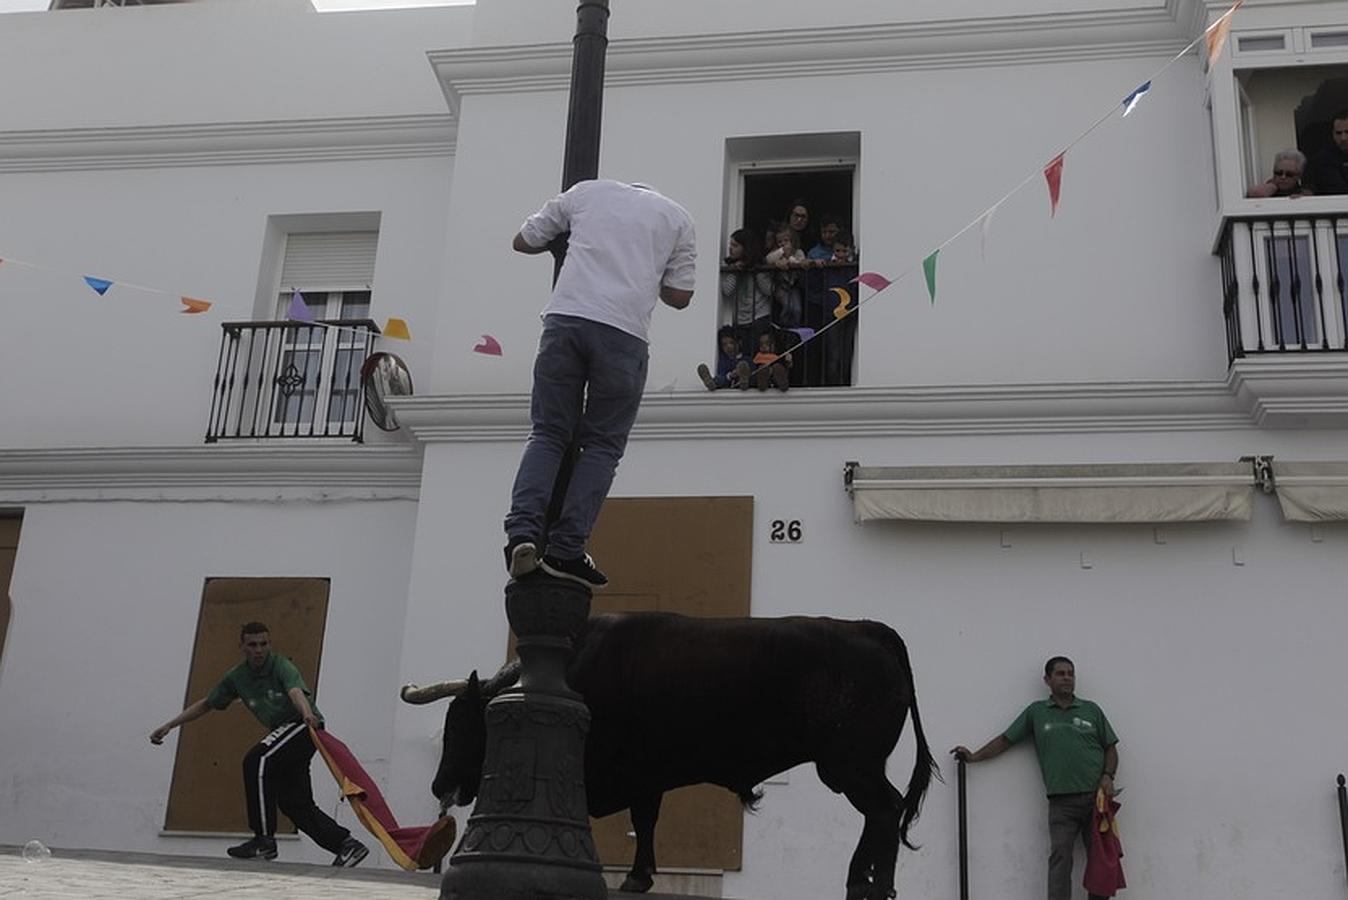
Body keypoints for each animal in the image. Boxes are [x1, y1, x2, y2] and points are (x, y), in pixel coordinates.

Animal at [409, 611, 938, 900]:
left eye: (463, 724)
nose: (439, 785)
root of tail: (869, 629)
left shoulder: (628, 772)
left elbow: (640, 820)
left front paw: (634, 876)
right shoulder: (647, 775)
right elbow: (646, 821)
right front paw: (640, 875)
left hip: (850, 765)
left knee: (885, 811)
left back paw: (870, 886)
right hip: (854, 767)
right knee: (882, 814)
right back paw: (865, 882)